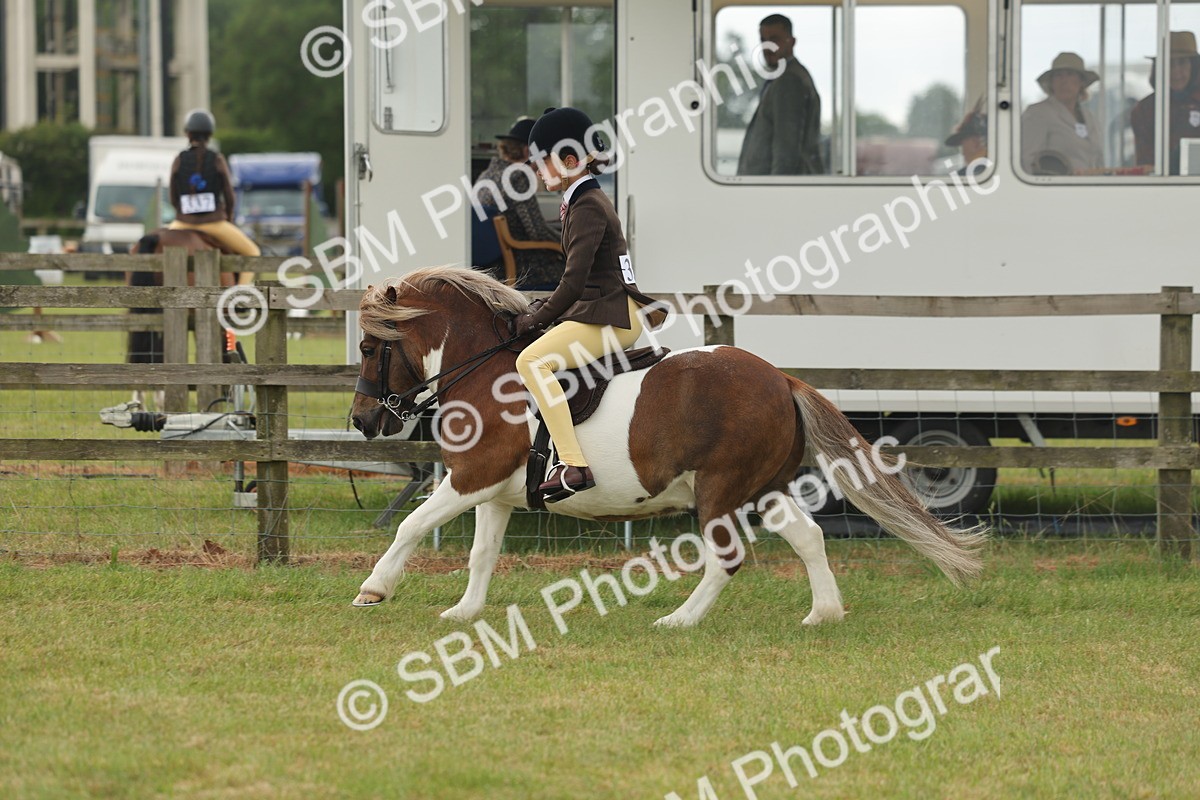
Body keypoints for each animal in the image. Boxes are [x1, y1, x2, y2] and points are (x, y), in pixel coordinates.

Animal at [349, 266, 986, 627]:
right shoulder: (494, 492)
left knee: (728, 557)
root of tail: (782, 379)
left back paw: (679, 621)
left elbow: (410, 526)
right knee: (808, 537)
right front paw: (464, 612)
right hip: (764, 488)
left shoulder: (470, 478)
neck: (482, 374)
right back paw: (823, 614)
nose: (360, 420)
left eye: (367, 347)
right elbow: (482, 553)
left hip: (720, 490)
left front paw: (373, 589)